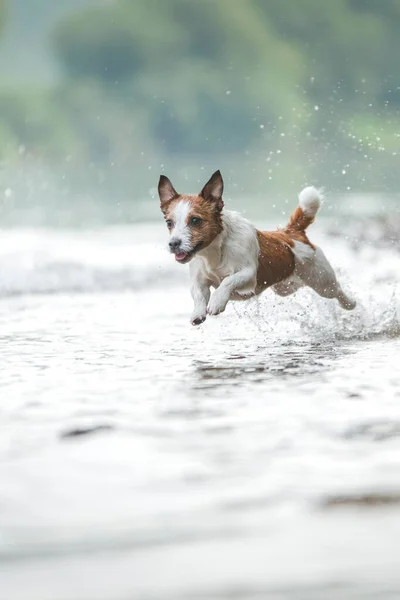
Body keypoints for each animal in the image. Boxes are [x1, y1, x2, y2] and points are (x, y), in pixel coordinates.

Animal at [157, 170, 356, 324]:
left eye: (195, 220)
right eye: (169, 223)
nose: (173, 243)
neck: (214, 252)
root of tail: (291, 232)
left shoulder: (248, 273)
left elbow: (228, 281)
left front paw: (217, 301)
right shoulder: (199, 280)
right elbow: (198, 293)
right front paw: (198, 312)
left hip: (321, 280)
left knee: (336, 290)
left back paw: (350, 303)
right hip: (284, 288)